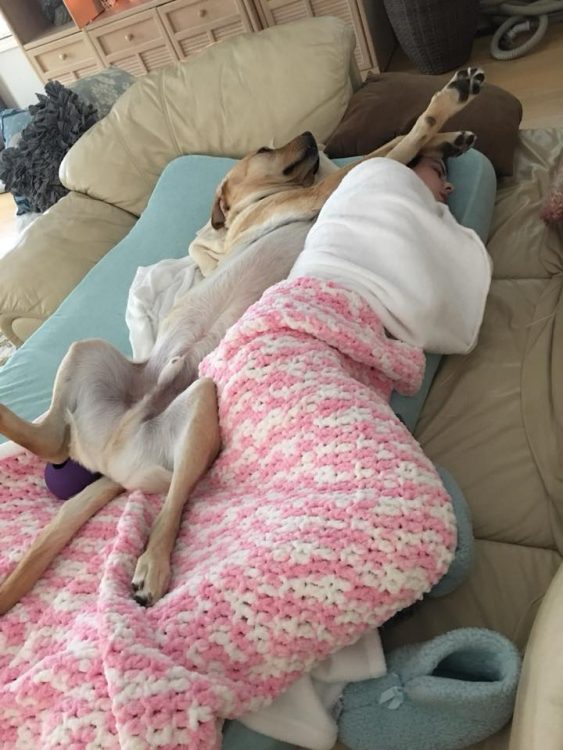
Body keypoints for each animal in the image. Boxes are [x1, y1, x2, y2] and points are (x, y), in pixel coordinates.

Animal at [0, 67, 484, 612]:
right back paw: (152, 565)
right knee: (163, 503)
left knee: (60, 448)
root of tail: (111, 455)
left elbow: (390, 145)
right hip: (180, 405)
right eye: (263, 148)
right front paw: (447, 106)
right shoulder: (321, 190)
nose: (312, 135)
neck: (266, 200)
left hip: (119, 371)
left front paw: (452, 138)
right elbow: (393, 144)